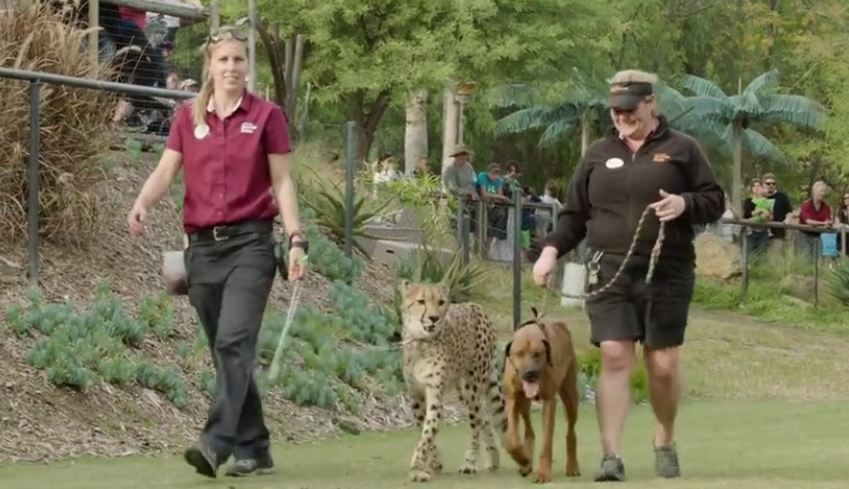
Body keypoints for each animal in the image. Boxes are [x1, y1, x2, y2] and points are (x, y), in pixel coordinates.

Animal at [398, 280, 504, 482]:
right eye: (421, 301)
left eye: (441, 302)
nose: (433, 318)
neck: (421, 342)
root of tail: (476, 306)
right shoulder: (415, 395)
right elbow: (425, 430)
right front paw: (434, 463)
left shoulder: (434, 391)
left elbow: (428, 431)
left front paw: (416, 468)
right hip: (464, 390)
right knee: (484, 418)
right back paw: (493, 458)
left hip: (471, 388)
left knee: (476, 423)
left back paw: (470, 463)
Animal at [500, 306, 580, 482]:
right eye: (519, 353)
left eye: (538, 354)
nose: (530, 373)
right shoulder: (512, 399)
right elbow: (512, 441)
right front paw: (522, 459)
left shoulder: (550, 401)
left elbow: (547, 442)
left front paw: (543, 472)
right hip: (523, 403)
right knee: (529, 430)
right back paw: (527, 460)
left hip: (571, 395)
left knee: (571, 431)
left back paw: (572, 466)